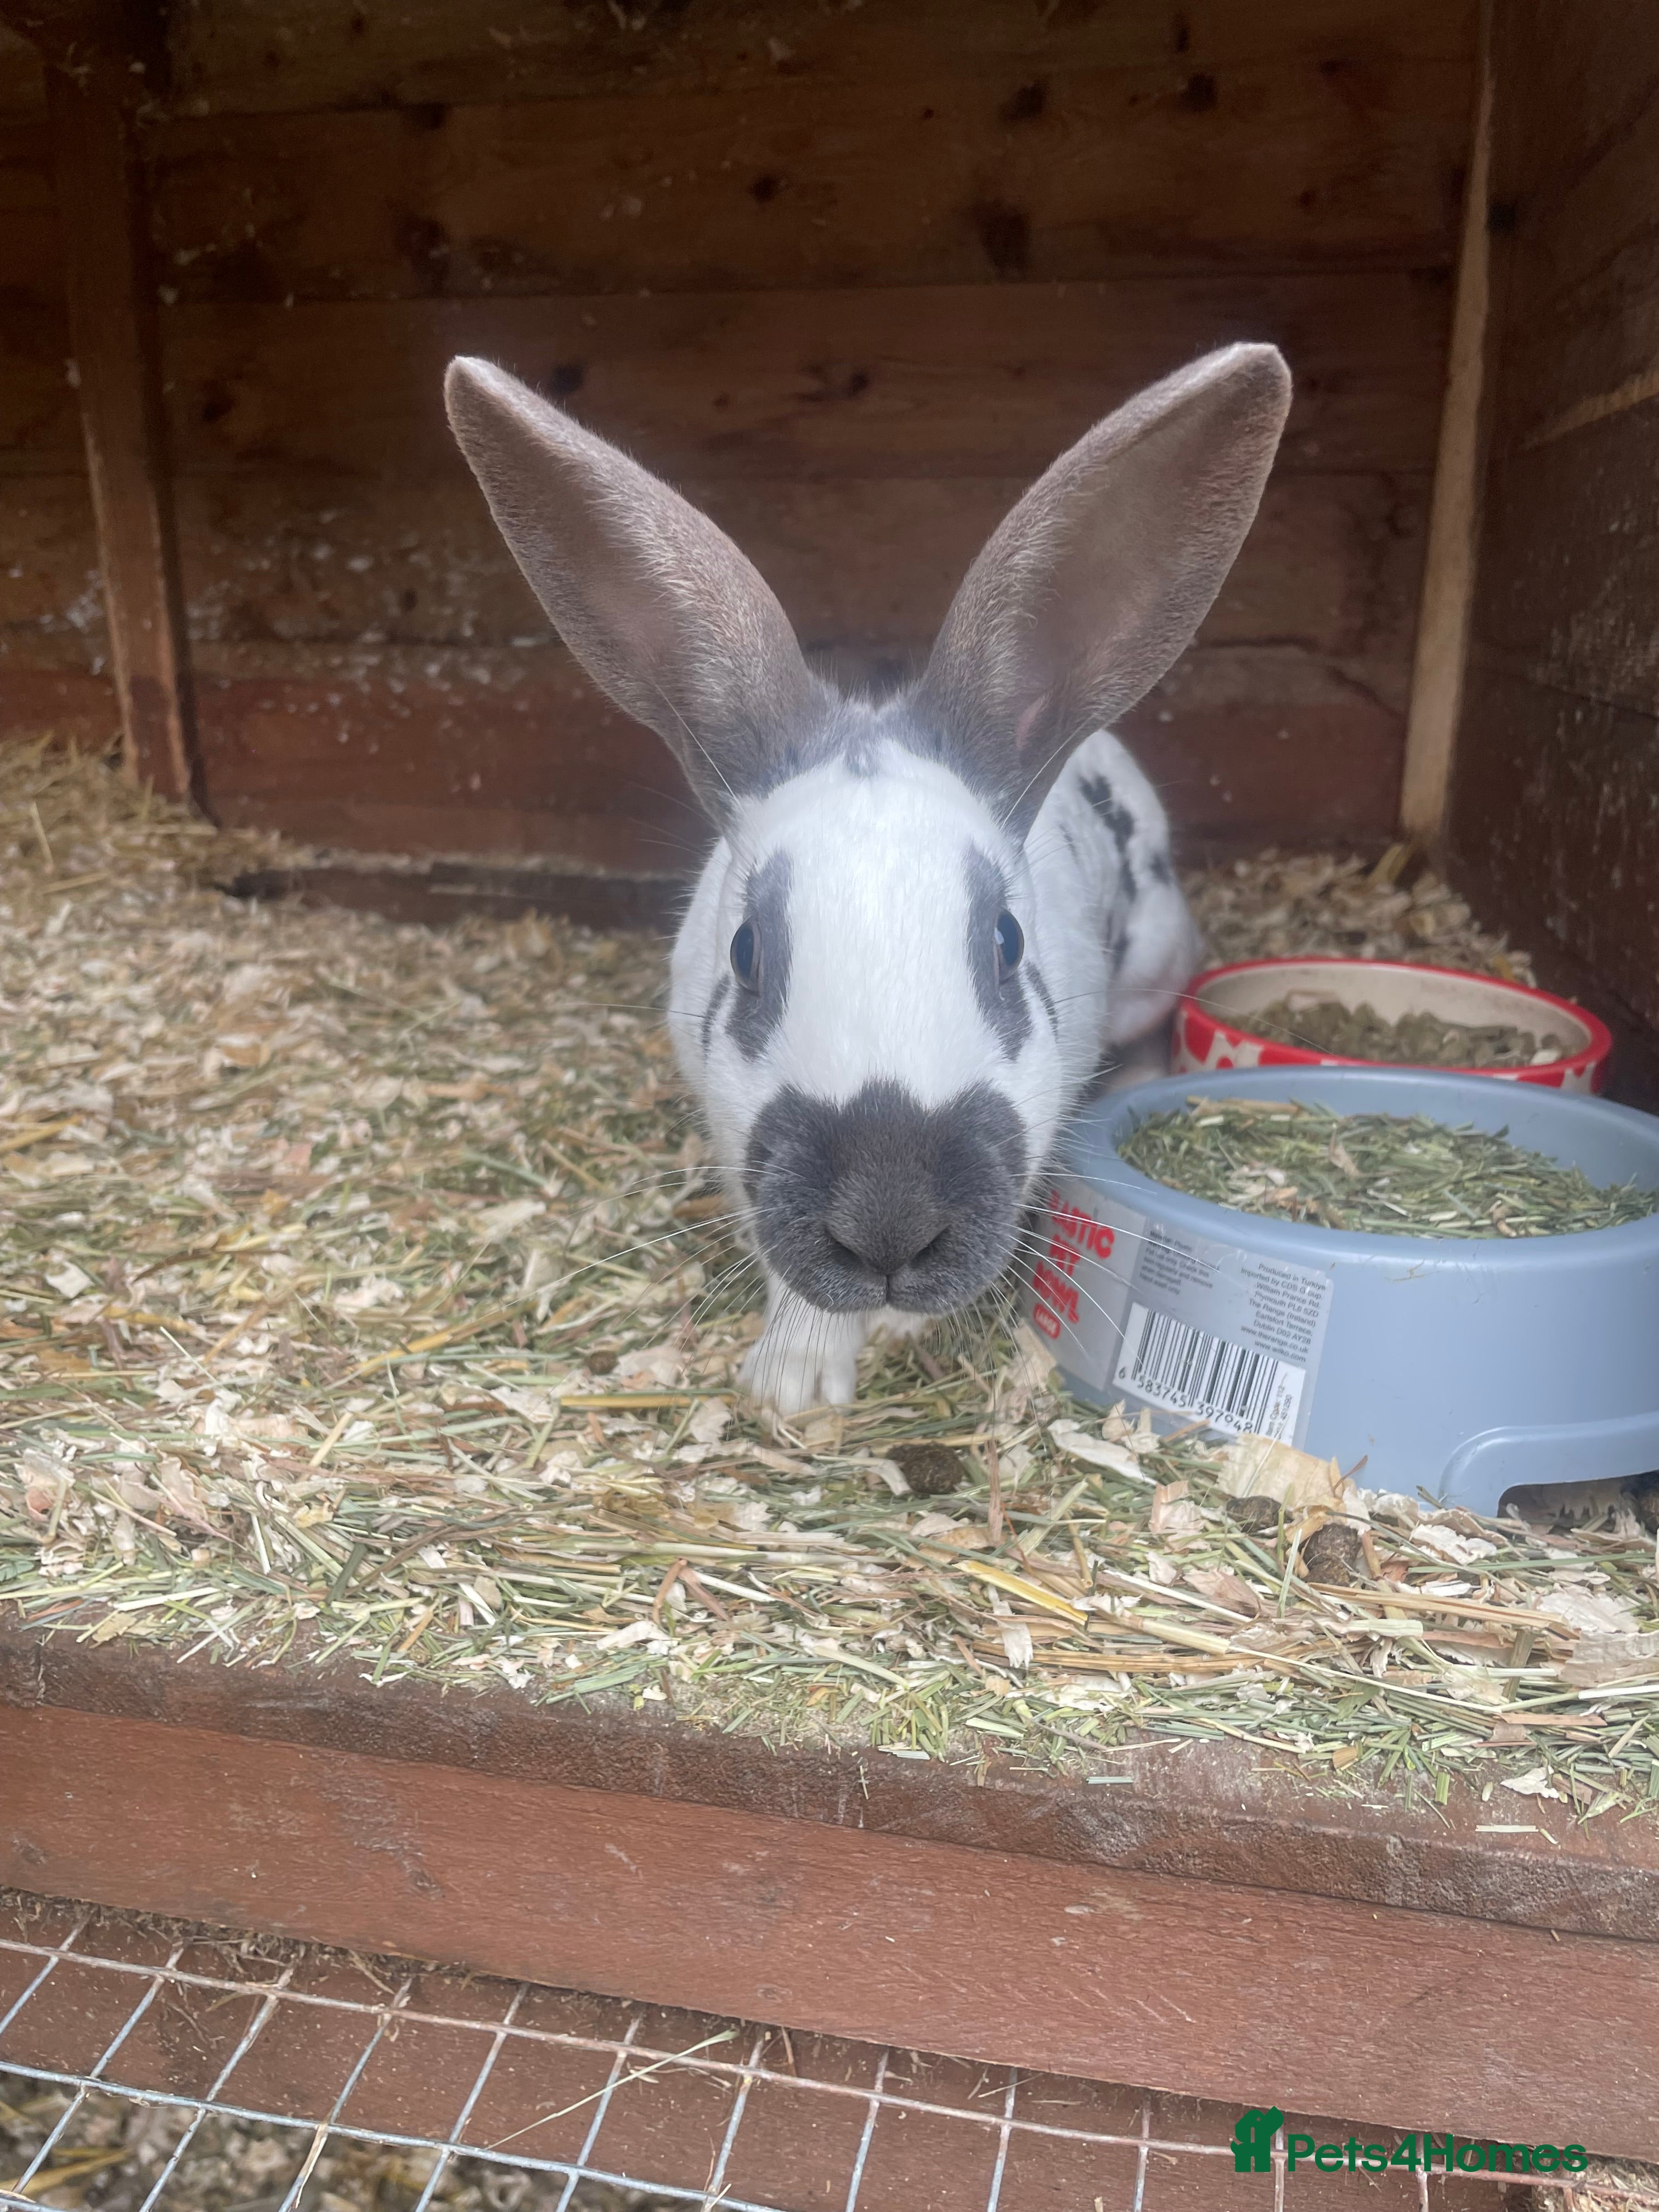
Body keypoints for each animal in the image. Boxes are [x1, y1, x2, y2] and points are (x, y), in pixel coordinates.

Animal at [446, 343, 1291, 1413]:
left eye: (1006, 944)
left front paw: (882, 1335)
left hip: (1155, 960)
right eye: (746, 953)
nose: (887, 1224)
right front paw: (794, 1382)